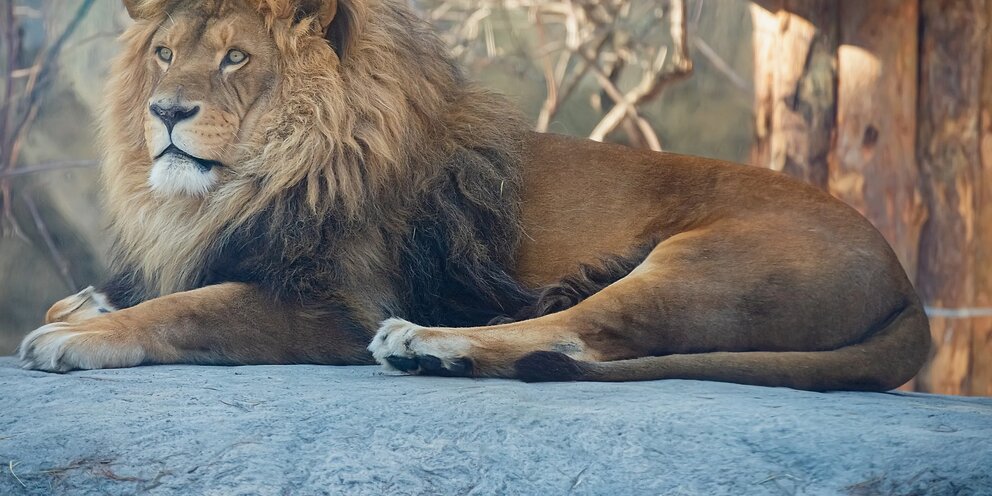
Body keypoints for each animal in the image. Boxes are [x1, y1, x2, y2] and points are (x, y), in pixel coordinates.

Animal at [15, 0, 928, 392]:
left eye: (237, 58)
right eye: (165, 54)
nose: (164, 112)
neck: (239, 189)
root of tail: (906, 280)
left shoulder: (335, 308)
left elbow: (190, 308)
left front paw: (76, 339)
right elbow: (134, 291)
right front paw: (84, 308)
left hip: (702, 264)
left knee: (579, 335)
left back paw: (427, 343)